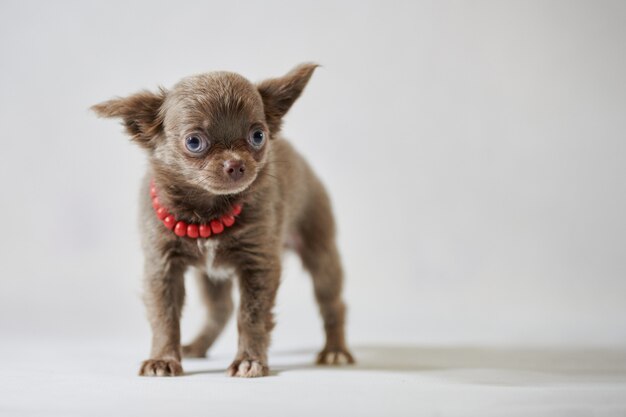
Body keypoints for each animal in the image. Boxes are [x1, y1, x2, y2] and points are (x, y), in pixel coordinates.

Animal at [90, 62, 354, 376]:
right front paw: (164, 358)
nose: (236, 164)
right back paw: (198, 346)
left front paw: (249, 360)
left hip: (320, 252)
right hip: (210, 275)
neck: (207, 210)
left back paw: (335, 350)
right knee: (221, 308)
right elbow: (165, 315)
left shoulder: (258, 263)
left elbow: (251, 316)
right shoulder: (162, 266)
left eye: (258, 136)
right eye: (194, 142)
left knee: (332, 302)